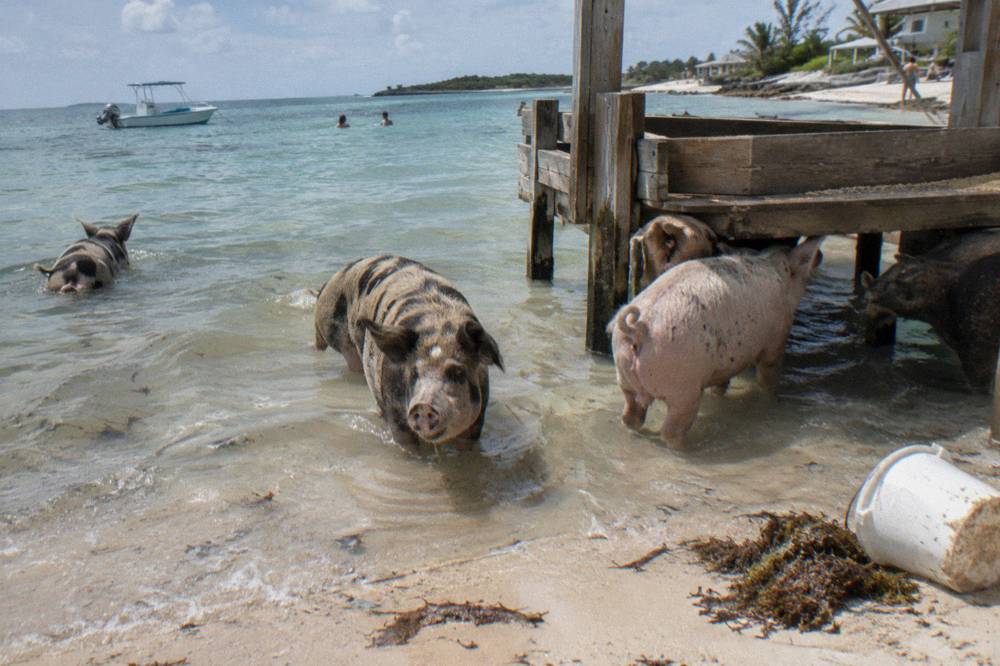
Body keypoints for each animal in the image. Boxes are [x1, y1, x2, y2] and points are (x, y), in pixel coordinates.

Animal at [314, 255, 504, 447]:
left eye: (457, 372)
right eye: (414, 373)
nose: (423, 406)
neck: (438, 327)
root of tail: (329, 282)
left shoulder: (478, 417)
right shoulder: (395, 410)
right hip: (340, 338)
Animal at [609, 237, 824, 449]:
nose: (820, 255)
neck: (777, 269)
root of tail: (638, 328)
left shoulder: (725, 364)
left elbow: (721, 384)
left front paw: (719, 394)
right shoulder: (776, 340)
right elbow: (768, 376)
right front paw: (774, 400)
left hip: (624, 375)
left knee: (630, 416)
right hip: (682, 387)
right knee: (670, 431)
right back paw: (689, 448)